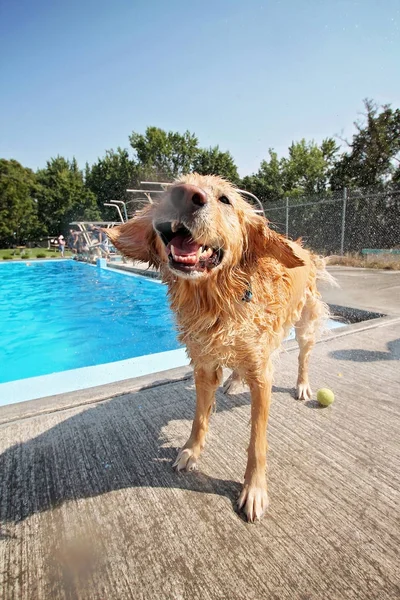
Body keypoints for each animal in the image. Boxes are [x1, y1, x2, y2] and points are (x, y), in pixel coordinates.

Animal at [104, 172, 330, 520]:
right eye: (169, 191)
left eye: (225, 199)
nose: (184, 195)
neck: (217, 300)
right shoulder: (204, 364)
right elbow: (199, 417)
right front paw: (190, 451)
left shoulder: (262, 374)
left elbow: (257, 441)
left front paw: (254, 489)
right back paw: (234, 381)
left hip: (305, 323)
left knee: (304, 356)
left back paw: (302, 385)